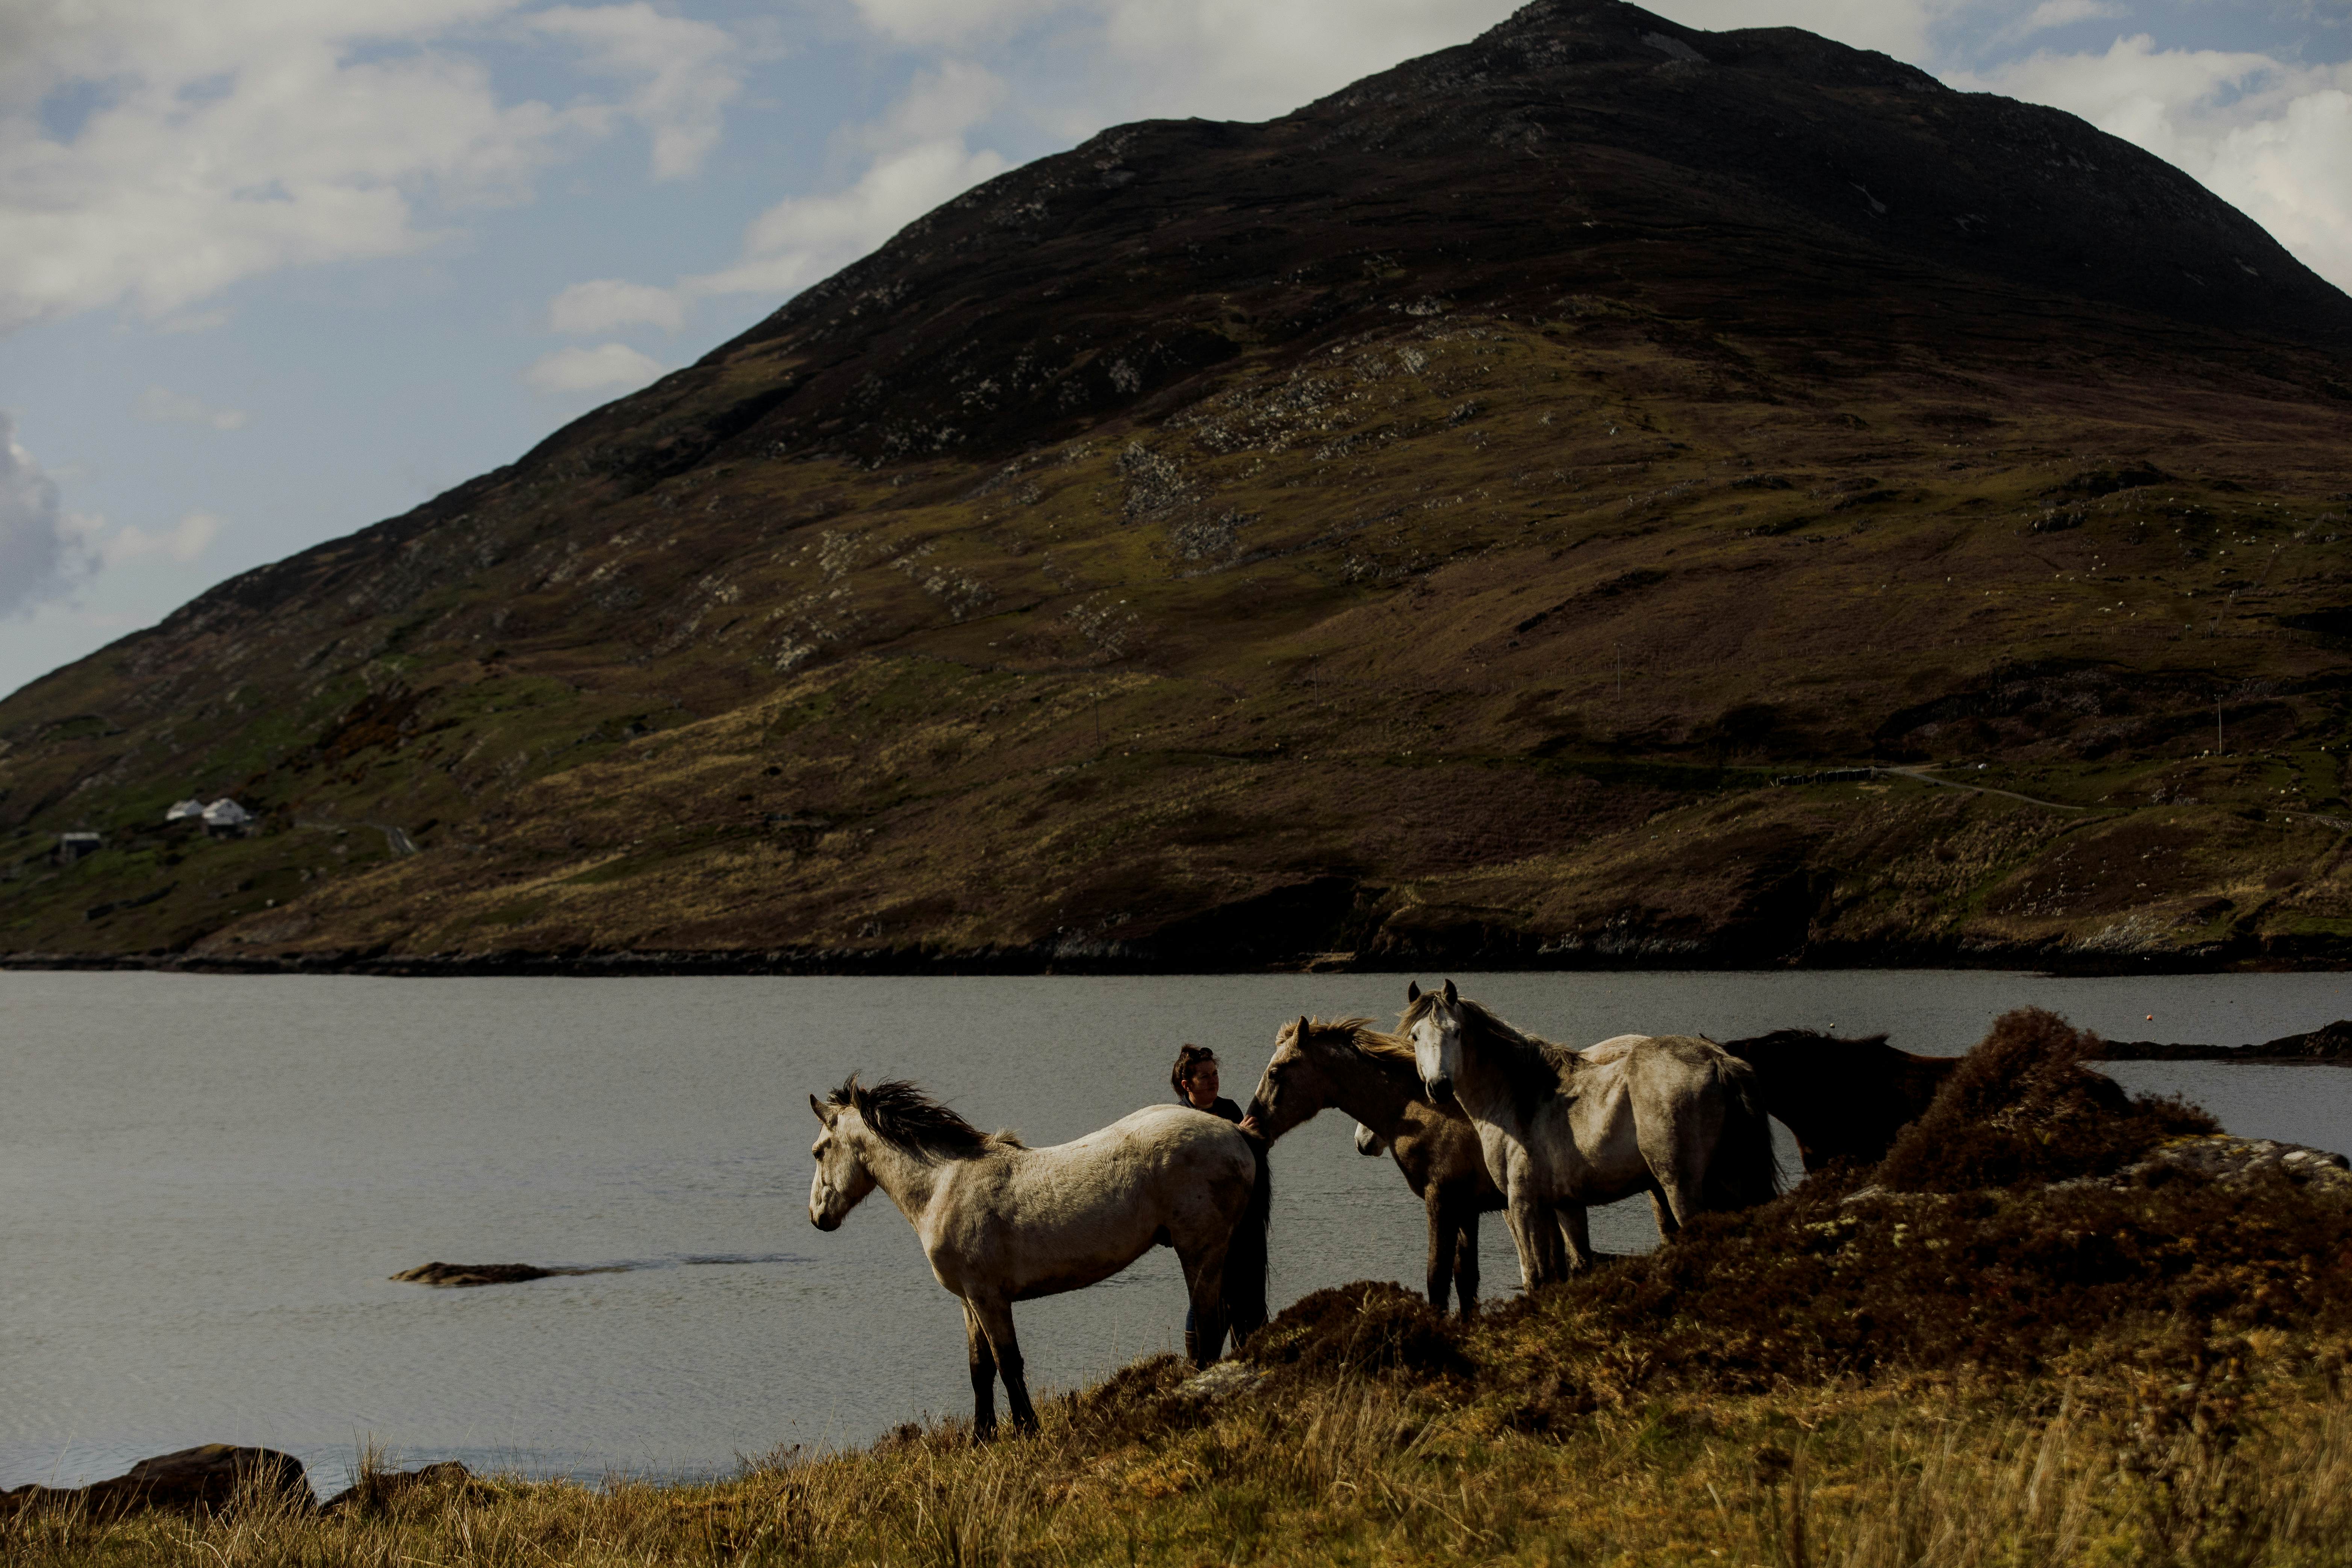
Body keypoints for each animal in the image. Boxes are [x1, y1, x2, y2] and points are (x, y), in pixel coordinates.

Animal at [807, 1075, 1269, 1438]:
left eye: (818, 1151)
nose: (817, 1217)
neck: (944, 1184)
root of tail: (1235, 1133)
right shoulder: (969, 1300)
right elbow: (980, 1368)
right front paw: (982, 1438)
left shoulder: (989, 1298)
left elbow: (1008, 1362)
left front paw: (1026, 1430)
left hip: (1200, 1250)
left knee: (1209, 1321)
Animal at [1242, 1014, 1564, 1315]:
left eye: (1275, 1072)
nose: (1252, 1124)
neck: (1425, 1111)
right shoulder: (1466, 1209)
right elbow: (1465, 1280)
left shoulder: (1442, 1200)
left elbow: (1437, 1278)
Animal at [1401, 980, 1779, 1284]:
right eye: (1416, 1035)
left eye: (1456, 1032)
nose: (1439, 1087)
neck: (1518, 1099)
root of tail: (1717, 1060)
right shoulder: (1565, 1204)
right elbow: (1572, 1267)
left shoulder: (1523, 1204)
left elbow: (1537, 1277)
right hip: (1730, 1179)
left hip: (1681, 1186)